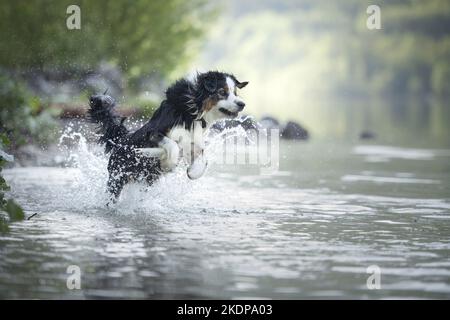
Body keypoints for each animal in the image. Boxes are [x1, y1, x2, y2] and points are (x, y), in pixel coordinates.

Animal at [88, 70, 250, 200]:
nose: (242, 104)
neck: (194, 111)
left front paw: (193, 172)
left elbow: (203, 159)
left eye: (235, 93)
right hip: (117, 178)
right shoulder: (154, 133)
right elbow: (173, 146)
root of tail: (121, 140)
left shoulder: (194, 144)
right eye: (222, 92)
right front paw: (167, 164)